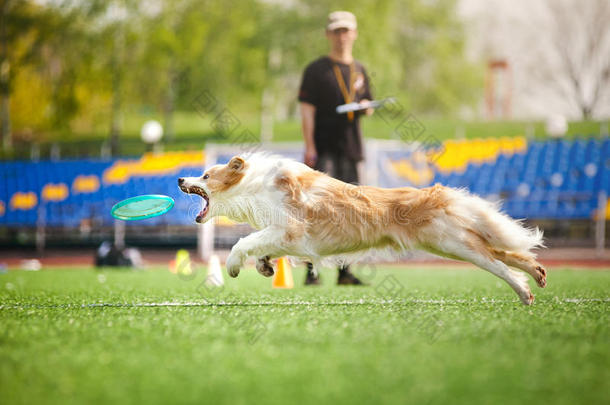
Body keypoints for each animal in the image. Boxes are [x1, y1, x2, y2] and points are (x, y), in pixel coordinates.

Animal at [178, 154, 544, 304]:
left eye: (206, 175)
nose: (180, 178)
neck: (255, 186)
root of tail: (436, 192)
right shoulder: (287, 239)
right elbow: (260, 248)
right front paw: (265, 267)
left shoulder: (290, 230)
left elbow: (243, 242)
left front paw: (233, 266)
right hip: (448, 243)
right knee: (504, 251)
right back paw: (538, 274)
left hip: (451, 243)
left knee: (496, 260)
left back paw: (524, 291)